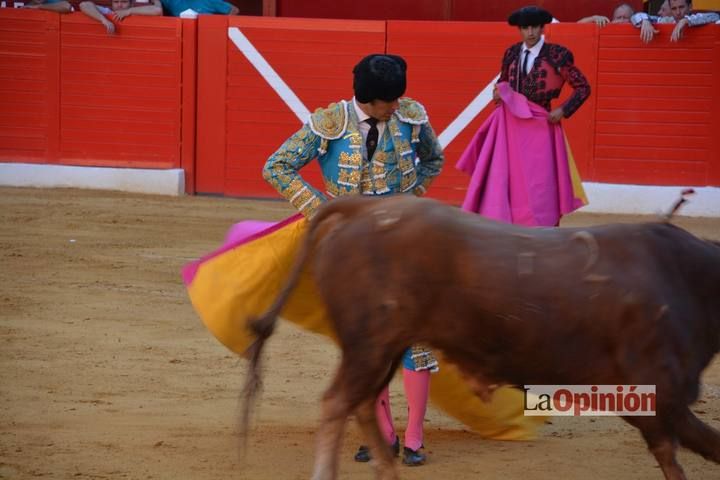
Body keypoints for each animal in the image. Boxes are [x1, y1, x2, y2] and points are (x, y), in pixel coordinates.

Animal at [243, 194, 720, 480]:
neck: (691, 277)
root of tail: (361, 208)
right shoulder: (661, 392)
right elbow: (691, 448)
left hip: (384, 347)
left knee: (358, 403)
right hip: (371, 344)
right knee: (337, 403)